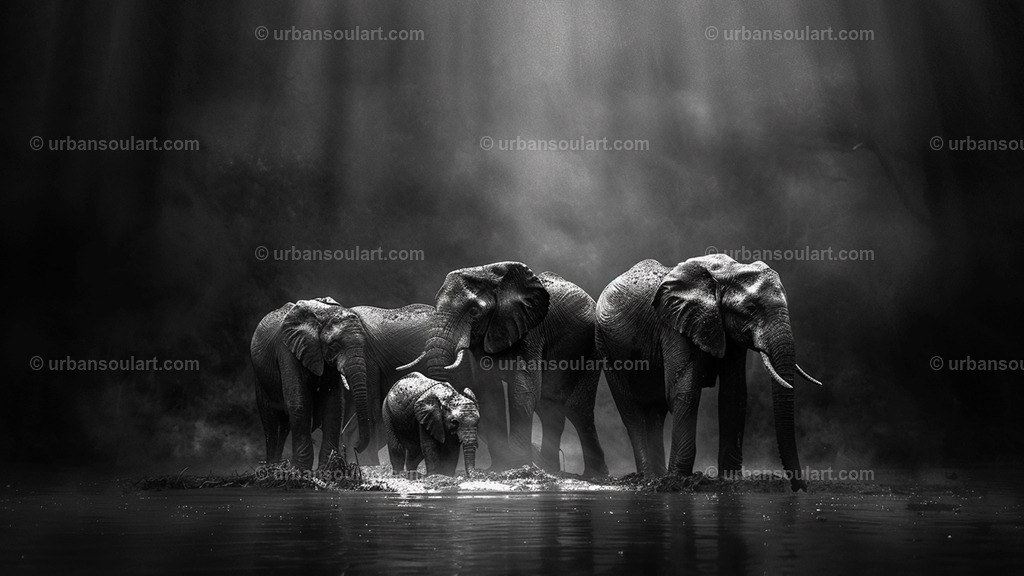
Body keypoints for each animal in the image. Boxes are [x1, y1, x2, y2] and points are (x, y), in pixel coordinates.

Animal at [250, 298, 443, 469]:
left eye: (364, 344)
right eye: (334, 345)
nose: (356, 446)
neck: (322, 313)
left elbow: (334, 405)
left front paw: (326, 468)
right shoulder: (287, 350)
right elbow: (299, 402)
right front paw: (302, 469)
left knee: (283, 425)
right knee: (271, 421)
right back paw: (273, 466)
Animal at [401, 262, 608, 478]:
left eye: (474, 312)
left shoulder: (530, 329)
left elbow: (523, 390)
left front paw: (517, 465)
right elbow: (490, 393)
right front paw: (500, 467)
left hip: (590, 347)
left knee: (577, 408)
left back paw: (594, 475)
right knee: (549, 406)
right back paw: (551, 468)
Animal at [595, 256, 822, 491]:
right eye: (750, 309)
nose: (800, 488)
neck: (723, 274)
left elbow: (734, 394)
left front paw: (730, 480)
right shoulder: (675, 325)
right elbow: (684, 392)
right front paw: (679, 481)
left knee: (655, 411)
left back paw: (657, 477)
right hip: (605, 345)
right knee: (631, 411)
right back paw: (648, 478)